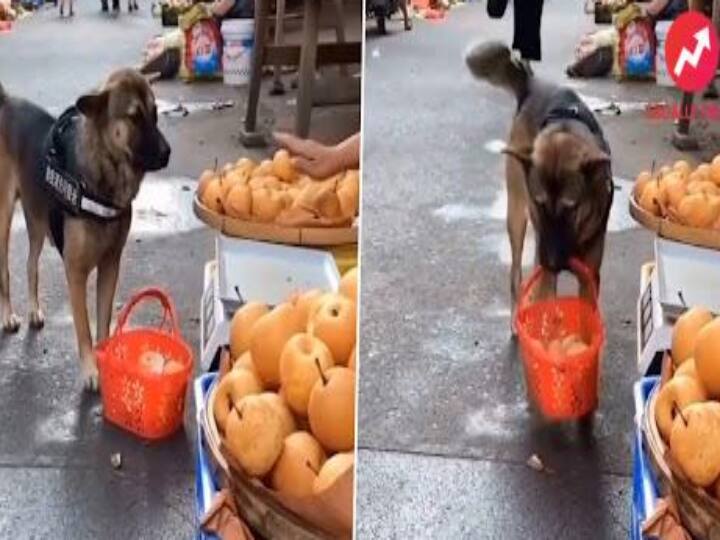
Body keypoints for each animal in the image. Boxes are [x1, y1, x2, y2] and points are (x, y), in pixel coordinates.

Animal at [0, 68, 170, 388]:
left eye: (155, 114)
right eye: (134, 117)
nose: (167, 153)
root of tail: (7, 102)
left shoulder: (110, 266)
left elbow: (103, 321)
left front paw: (107, 358)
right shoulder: (76, 273)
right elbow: (84, 329)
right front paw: (91, 369)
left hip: (38, 222)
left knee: (31, 264)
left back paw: (32, 310)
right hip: (4, 218)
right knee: (4, 270)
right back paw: (8, 315)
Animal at [466, 42, 612, 332]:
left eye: (571, 207)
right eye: (539, 202)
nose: (552, 262)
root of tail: (532, 84)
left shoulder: (589, 276)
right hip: (516, 216)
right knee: (516, 275)